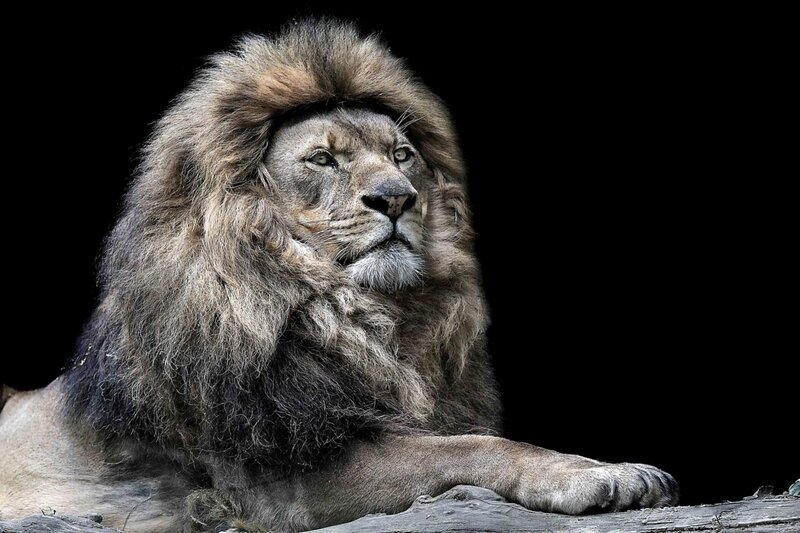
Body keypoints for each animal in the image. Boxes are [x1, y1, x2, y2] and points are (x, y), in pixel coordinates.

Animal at [0, 20, 678, 532]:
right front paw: (598, 474)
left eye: (402, 155)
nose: (397, 197)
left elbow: (460, 440)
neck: (355, 315)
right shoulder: (277, 479)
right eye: (323, 159)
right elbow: (472, 447)